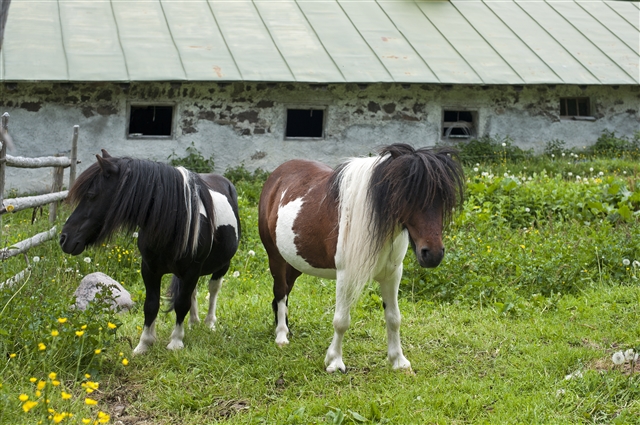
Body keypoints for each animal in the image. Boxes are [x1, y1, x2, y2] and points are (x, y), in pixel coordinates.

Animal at [60, 151, 240, 352]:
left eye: (91, 195)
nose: (64, 238)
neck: (174, 222)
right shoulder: (150, 269)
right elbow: (151, 304)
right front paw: (144, 343)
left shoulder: (191, 271)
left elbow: (181, 303)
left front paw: (176, 341)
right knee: (193, 293)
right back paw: (194, 322)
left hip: (221, 266)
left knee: (213, 289)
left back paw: (209, 323)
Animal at [258, 145, 462, 372]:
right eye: (407, 195)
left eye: (443, 198)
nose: (432, 254)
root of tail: (277, 175)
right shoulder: (346, 275)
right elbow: (341, 321)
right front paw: (335, 362)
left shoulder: (392, 275)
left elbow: (394, 318)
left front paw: (399, 361)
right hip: (276, 257)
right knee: (280, 291)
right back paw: (281, 336)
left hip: (296, 262)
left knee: (285, 292)